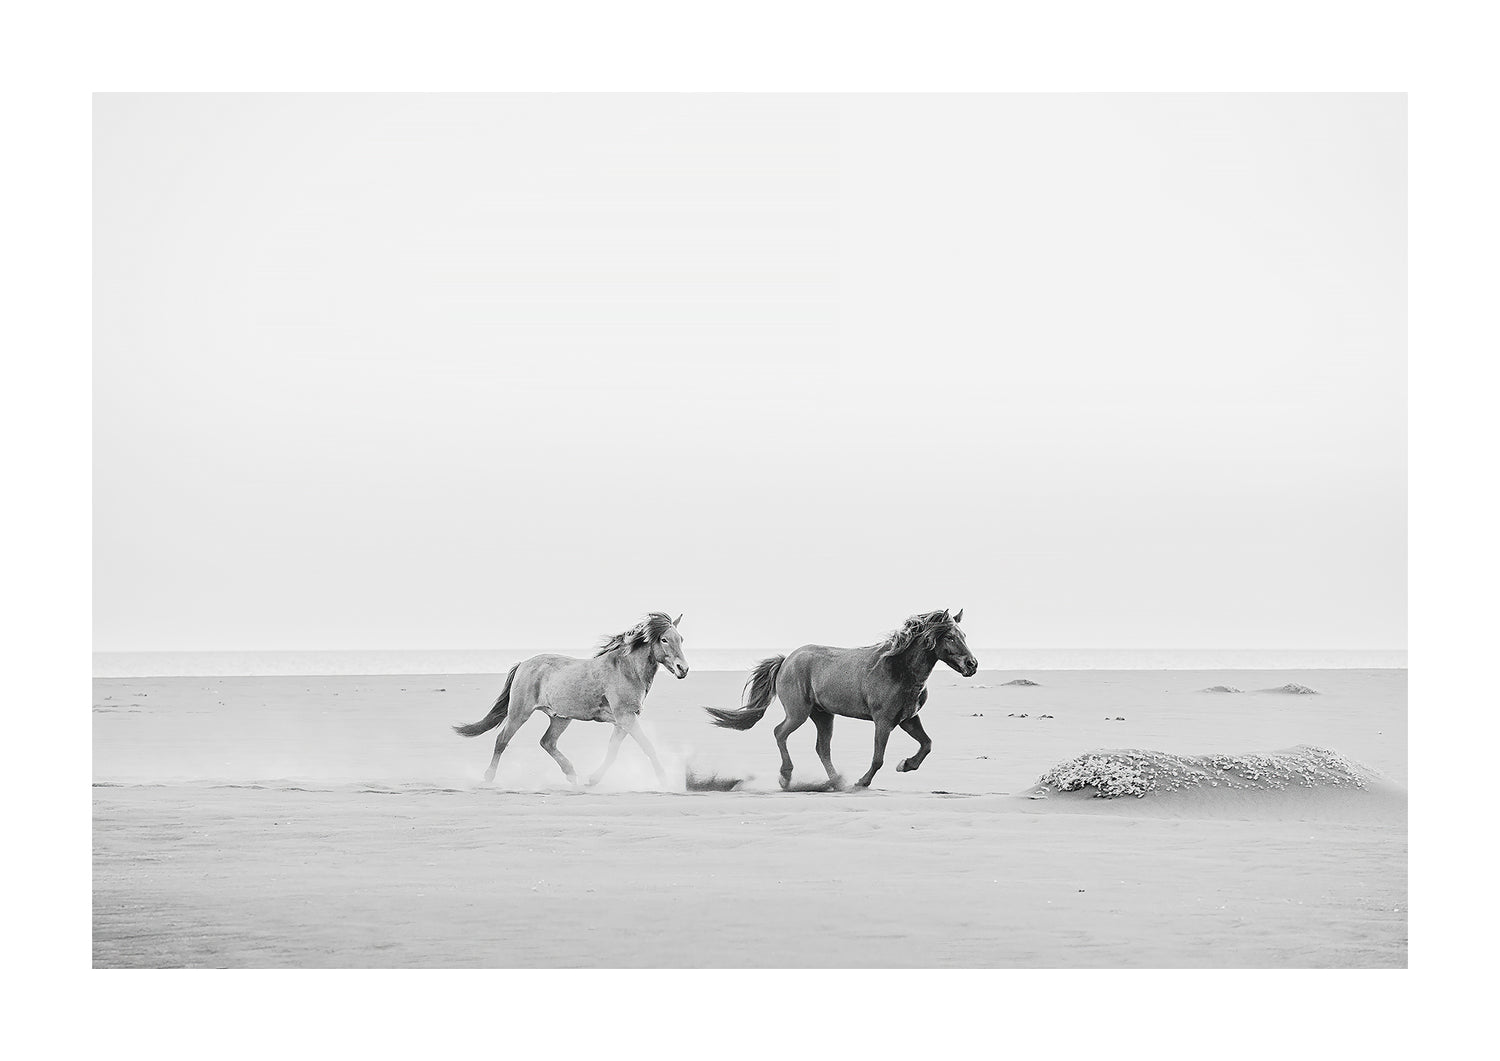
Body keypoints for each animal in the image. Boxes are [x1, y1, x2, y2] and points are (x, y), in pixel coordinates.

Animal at [450, 615, 690, 786]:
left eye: (681, 639)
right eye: (664, 639)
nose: (683, 669)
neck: (625, 670)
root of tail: (523, 664)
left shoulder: (624, 721)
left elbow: (613, 751)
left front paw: (593, 780)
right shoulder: (625, 717)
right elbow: (647, 746)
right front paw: (664, 780)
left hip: (561, 718)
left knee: (547, 742)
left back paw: (572, 774)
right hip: (520, 713)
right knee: (502, 740)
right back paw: (489, 777)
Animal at [705, 609, 978, 792]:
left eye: (964, 634)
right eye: (950, 637)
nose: (972, 665)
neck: (897, 668)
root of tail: (787, 660)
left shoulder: (907, 719)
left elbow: (927, 744)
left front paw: (905, 764)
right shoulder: (883, 721)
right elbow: (878, 758)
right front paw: (862, 782)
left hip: (823, 715)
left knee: (821, 748)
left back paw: (835, 782)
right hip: (798, 713)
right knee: (780, 733)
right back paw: (786, 777)